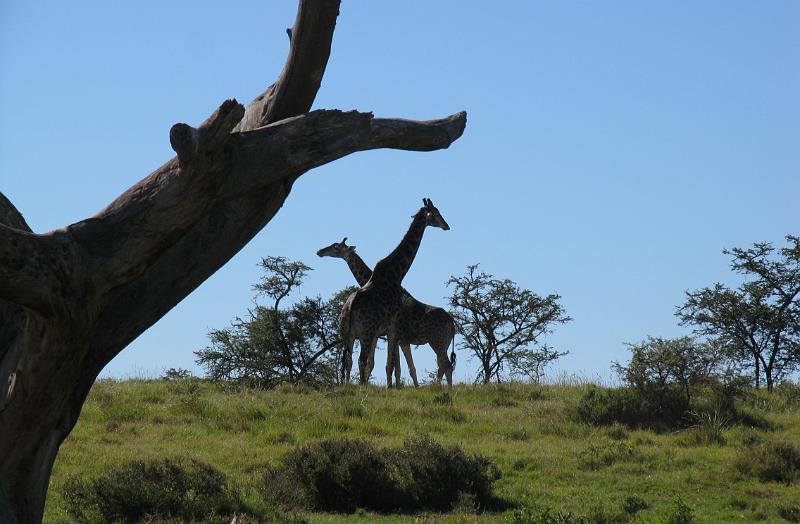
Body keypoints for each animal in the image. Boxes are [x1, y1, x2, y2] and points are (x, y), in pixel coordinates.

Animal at [318, 237, 456, 384]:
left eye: (336, 247)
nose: (320, 251)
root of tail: (452, 324)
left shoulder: (394, 335)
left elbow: (394, 366)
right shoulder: (398, 339)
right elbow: (402, 367)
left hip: (438, 342)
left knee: (446, 365)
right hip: (443, 344)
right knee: (441, 366)